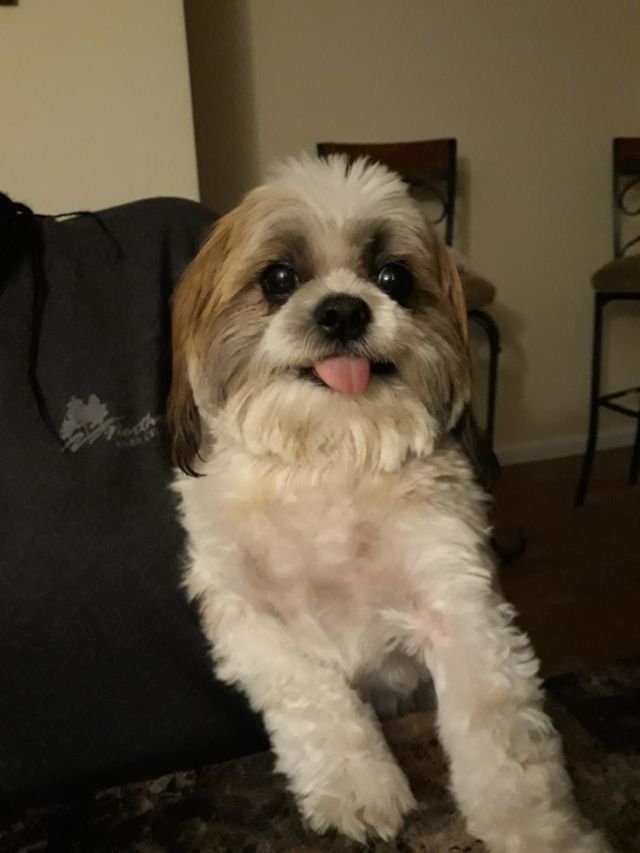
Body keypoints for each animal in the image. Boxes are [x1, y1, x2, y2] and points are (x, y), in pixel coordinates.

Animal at [168, 155, 609, 851]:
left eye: (393, 278)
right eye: (279, 278)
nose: (343, 310)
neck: (333, 455)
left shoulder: (461, 606)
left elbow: (502, 738)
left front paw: (540, 830)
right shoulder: (246, 616)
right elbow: (313, 699)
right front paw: (360, 787)